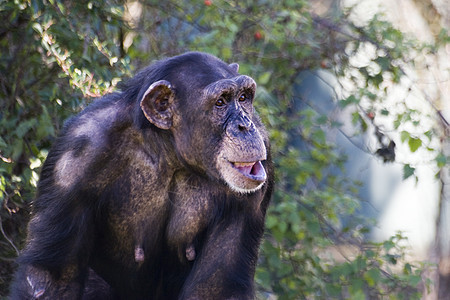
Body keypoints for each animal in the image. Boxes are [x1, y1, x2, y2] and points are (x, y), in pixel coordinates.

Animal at [10, 52, 272, 300]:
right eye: (220, 102)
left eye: (243, 98)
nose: (246, 126)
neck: (169, 151)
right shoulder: (74, 157)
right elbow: (53, 279)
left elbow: (215, 287)